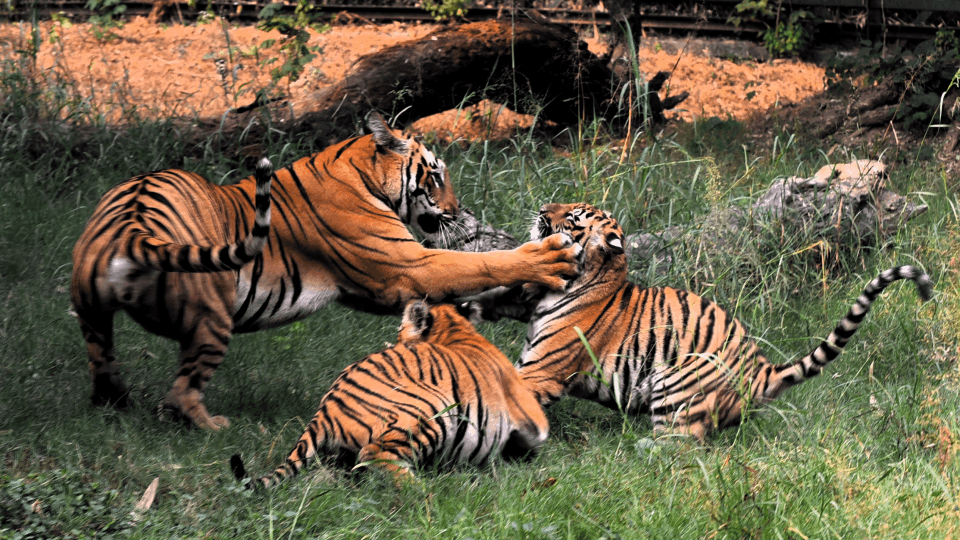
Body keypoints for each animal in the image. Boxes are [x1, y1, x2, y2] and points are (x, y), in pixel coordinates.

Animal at [69, 113, 580, 431]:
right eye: (436, 176)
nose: (459, 211)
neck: (365, 172)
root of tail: (131, 228)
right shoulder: (409, 266)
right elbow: (479, 263)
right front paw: (546, 258)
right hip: (211, 316)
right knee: (181, 392)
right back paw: (213, 426)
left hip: (91, 311)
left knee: (103, 367)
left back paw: (115, 405)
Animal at [230, 300, 550, 487]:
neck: (456, 330)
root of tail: (324, 413)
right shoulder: (533, 418)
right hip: (430, 410)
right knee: (375, 455)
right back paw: (423, 490)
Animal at [468, 202, 933, 440]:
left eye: (572, 217)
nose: (542, 207)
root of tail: (762, 370)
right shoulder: (520, 299)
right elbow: (488, 296)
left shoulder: (543, 368)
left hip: (674, 384)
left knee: (678, 451)